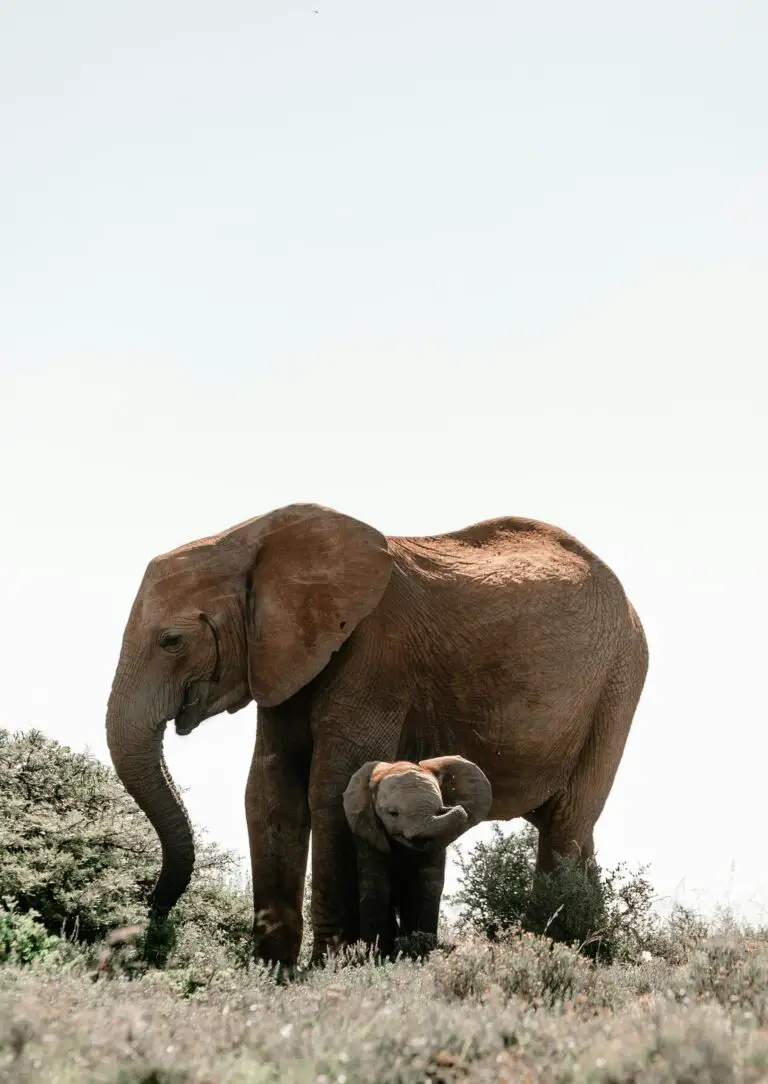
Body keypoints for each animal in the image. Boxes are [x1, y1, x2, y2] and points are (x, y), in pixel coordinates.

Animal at [342, 758, 492, 953]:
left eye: (439, 809)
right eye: (393, 813)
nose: (452, 808)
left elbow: (429, 886)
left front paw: (425, 950)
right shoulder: (368, 834)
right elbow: (376, 887)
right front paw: (370, 954)